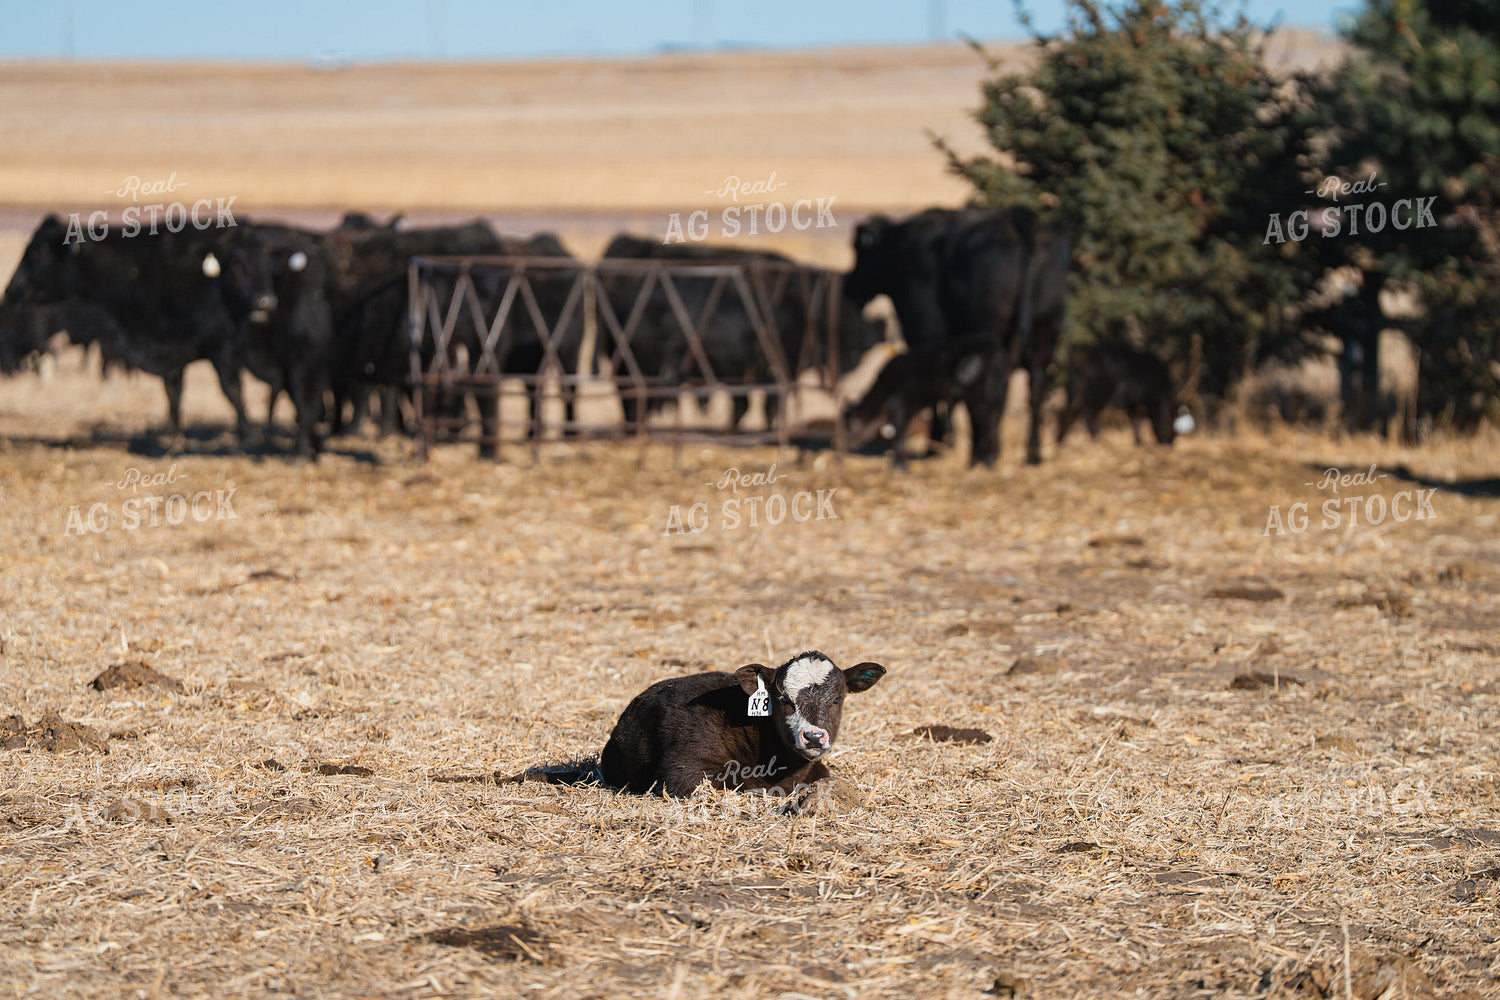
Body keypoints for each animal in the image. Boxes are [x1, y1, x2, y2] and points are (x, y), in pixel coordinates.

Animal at [3, 215, 255, 445]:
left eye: (37, 252)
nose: (9, 290)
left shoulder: (221, 346)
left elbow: (232, 391)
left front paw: (247, 436)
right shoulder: (170, 350)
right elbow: (173, 394)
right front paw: (174, 438)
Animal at [843, 336, 997, 468]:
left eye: (851, 425)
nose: (845, 444)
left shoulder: (901, 404)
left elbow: (899, 434)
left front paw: (898, 466)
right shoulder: (911, 408)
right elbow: (904, 434)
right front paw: (903, 462)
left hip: (974, 395)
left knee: (987, 421)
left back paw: (986, 460)